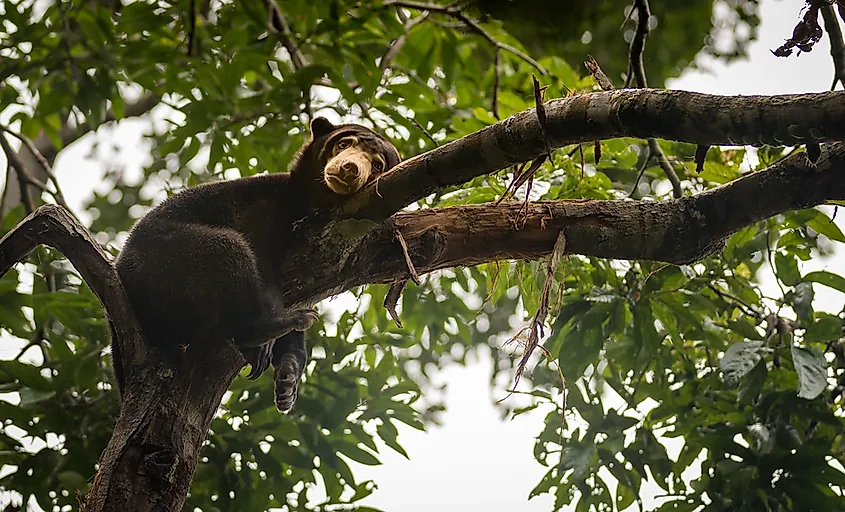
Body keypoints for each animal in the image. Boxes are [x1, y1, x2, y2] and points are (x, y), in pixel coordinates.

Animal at [113, 117, 402, 412]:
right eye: (343, 144)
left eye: (377, 165)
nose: (349, 168)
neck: (311, 203)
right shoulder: (262, 208)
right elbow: (260, 258)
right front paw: (274, 337)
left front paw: (288, 377)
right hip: (163, 259)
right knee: (227, 248)